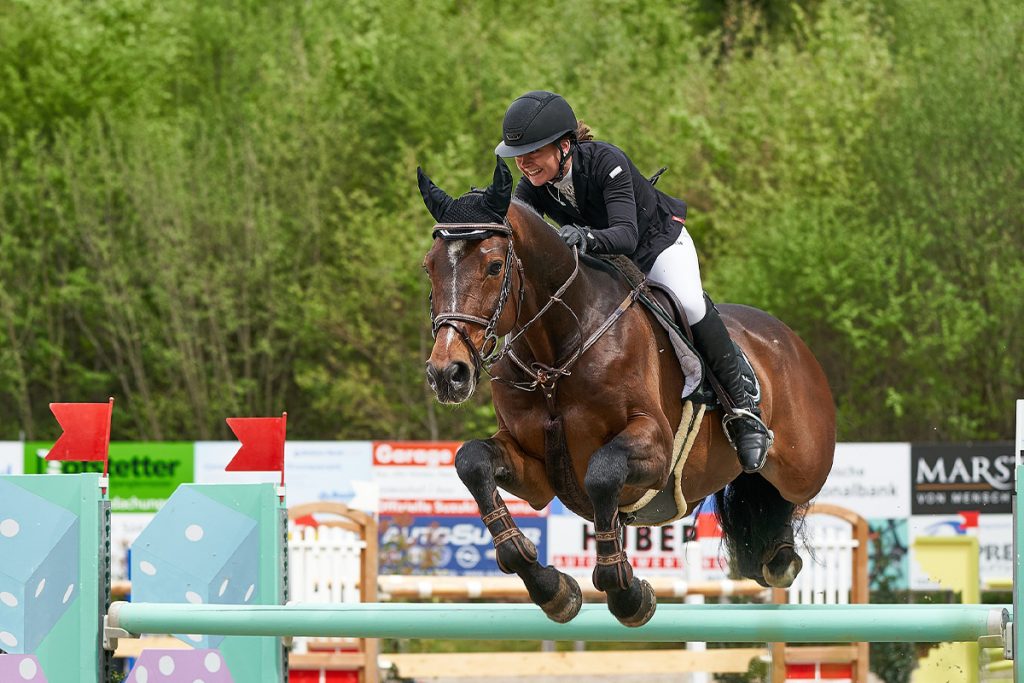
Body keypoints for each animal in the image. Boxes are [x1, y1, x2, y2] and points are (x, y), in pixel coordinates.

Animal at [418, 158, 835, 627]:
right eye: (429, 266)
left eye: (492, 266)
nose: (447, 373)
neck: (556, 352)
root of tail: (789, 340)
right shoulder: (538, 471)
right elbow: (472, 462)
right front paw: (552, 588)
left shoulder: (656, 448)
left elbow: (603, 472)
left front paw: (626, 591)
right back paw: (774, 553)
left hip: (804, 464)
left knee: (790, 490)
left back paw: (760, 471)